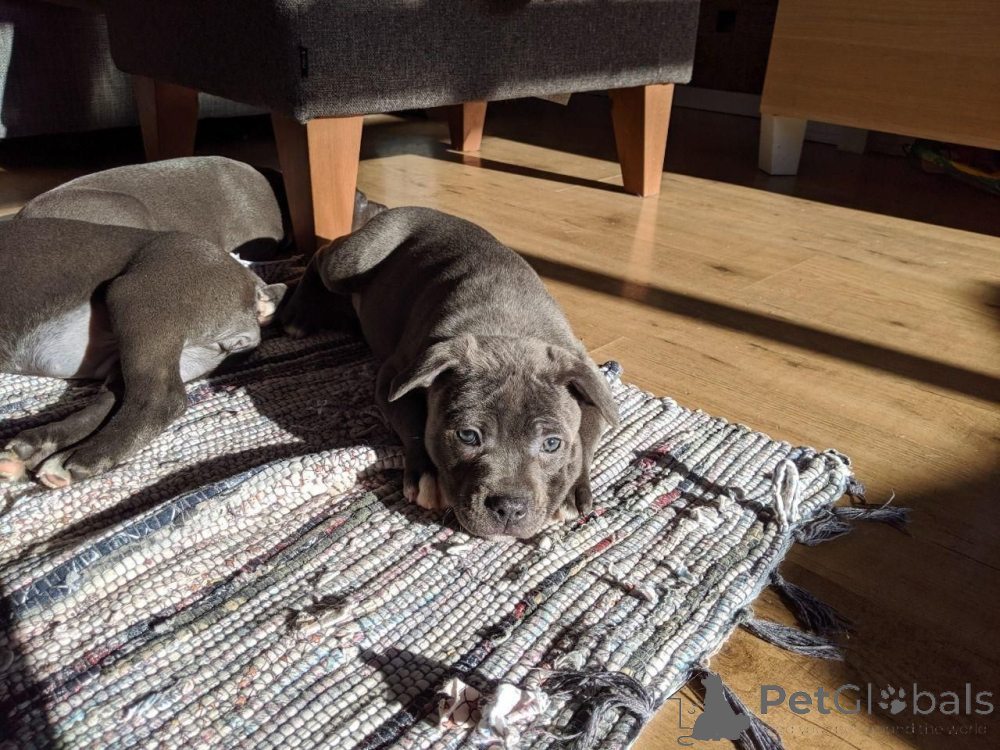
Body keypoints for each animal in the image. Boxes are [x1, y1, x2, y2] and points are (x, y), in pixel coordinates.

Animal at [0, 157, 289, 488]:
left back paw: (79, 459)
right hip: (167, 348)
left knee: (159, 398)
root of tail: (249, 286)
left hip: (137, 300)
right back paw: (37, 446)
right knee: (116, 397)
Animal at [280, 207, 619, 539]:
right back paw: (297, 312)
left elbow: (586, 435)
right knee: (320, 254)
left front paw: (572, 489)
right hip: (351, 261)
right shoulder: (394, 376)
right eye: (468, 436)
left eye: (552, 444)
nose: (509, 507)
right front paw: (427, 474)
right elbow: (413, 419)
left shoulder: (588, 376)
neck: (508, 330)